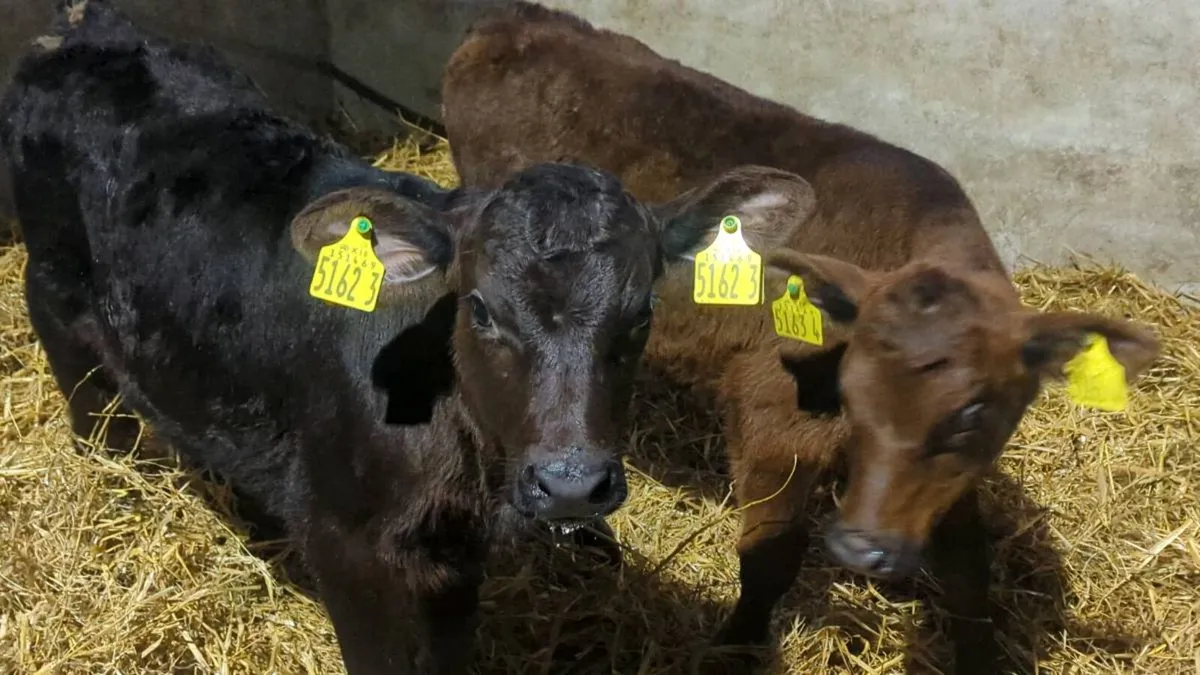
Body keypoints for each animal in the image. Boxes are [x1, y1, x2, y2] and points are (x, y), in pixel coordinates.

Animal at [0, 2, 822, 673]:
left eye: (641, 313)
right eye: (481, 309)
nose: (571, 483)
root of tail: (86, 30)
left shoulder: (450, 558)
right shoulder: (349, 548)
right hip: (55, 278)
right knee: (79, 372)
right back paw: (114, 474)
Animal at [440, 3, 1163, 671]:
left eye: (974, 412)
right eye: (852, 393)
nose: (861, 549)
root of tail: (516, 20)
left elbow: (966, 563)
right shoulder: (773, 416)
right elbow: (771, 555)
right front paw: (735, 645)